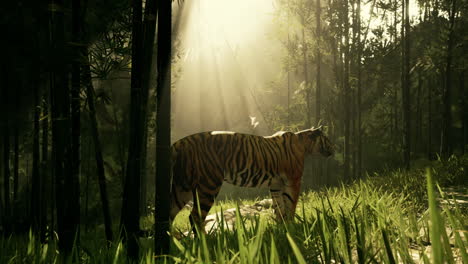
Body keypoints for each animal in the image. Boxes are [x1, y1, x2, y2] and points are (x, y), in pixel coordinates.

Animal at [170, 126, 334, 231]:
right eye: (327, 139)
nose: (334, 149)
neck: (304, 145)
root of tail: (181, 142)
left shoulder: (276, 185)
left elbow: (279, 207)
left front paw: (281, 229)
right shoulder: (293, 181)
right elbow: (290, 205)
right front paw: (292, 227)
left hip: (181, 188)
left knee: (170, 213)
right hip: (208, 185)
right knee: (195, 217)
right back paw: (205, 243)